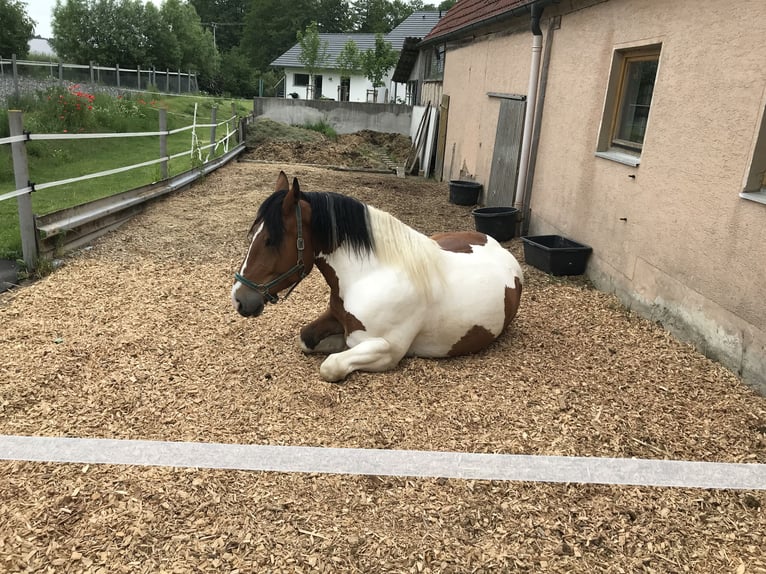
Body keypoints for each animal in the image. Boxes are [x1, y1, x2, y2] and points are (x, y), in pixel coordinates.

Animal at [231, 173, 524, 384]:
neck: (370, 275)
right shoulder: (335, 317)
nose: (239, 299)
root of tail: (498, 246)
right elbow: (306, 338)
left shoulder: (388, 350)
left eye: (270, 240)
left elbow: (332, 364)